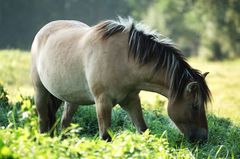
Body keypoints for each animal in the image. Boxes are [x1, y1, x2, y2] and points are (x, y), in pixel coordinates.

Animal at [31, 17, 211, 142]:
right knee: (43, 121)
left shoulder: (131, 100)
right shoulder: (103, 102)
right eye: (195, 105)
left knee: (64, 124)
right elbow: (105, 137)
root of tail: (44, 30)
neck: (124, 60)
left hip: (72, 100)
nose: (203, 138)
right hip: (40, 92)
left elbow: (143, 130)